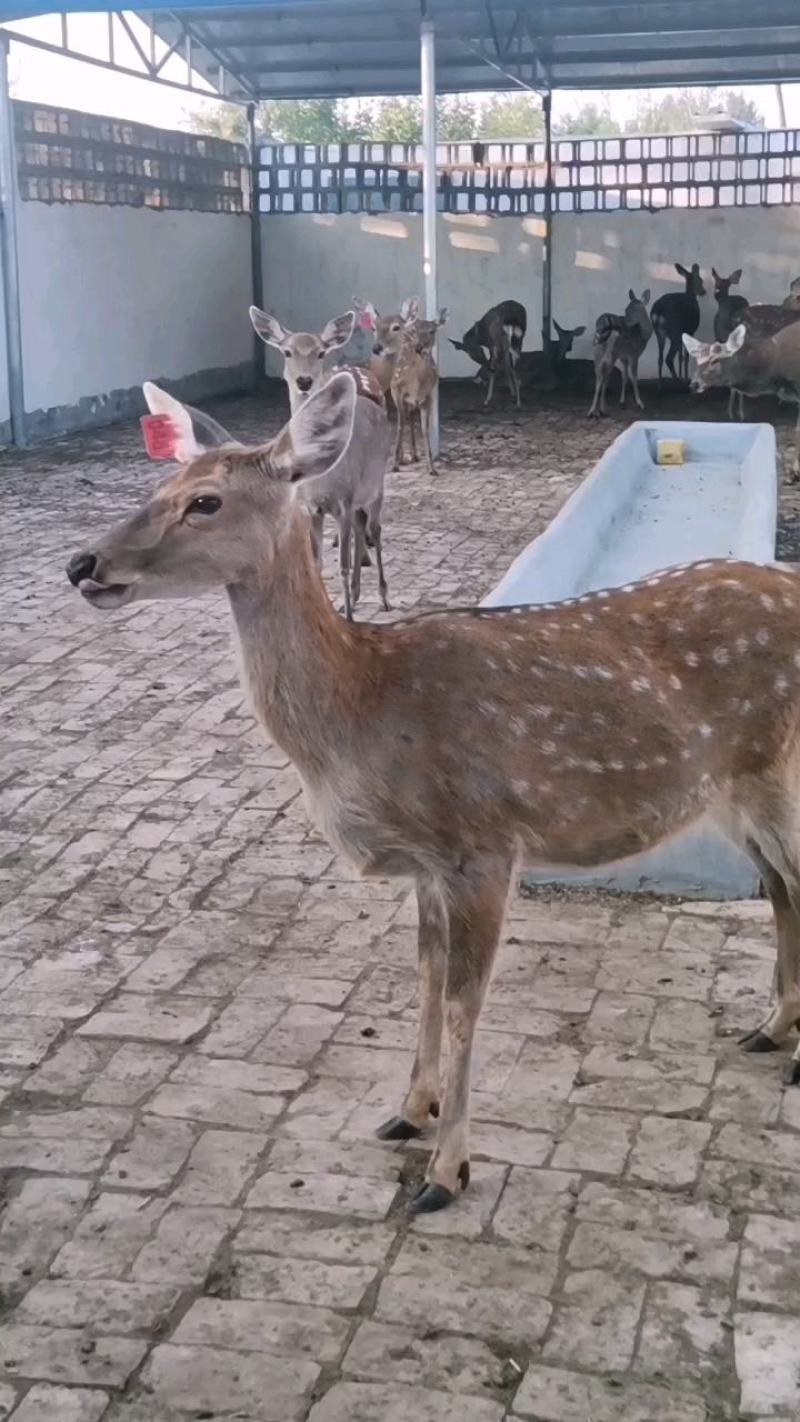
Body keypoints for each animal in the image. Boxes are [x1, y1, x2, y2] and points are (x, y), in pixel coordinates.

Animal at [66, 370, 800, 1215]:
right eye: (159, 484)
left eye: (206, 502)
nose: (82, 563)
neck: (363, 707)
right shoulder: (427, 864)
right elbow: (422, 976)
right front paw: (410, 1111)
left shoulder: (485, 843)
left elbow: (461, 1001)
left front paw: (447, 1172)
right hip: (732, 788)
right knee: (780, 884)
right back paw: (772, 1027)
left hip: (773, 764)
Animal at [249, 305, 390, 617]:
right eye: (287, 352)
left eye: (321, 352)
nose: (304, 381)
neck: (323, 478)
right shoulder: (311, 506)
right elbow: (318, 563)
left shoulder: (344, 500)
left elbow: (343, 566)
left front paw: (347, 618)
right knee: (361, 528)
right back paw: (356, 596)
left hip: (377, 484)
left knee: (375, 529)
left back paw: (383, 597)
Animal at [588, 288, 652, 418]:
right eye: (626, 309)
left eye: (636, 309)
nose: (625, 324)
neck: (643, 336)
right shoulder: (634, 354)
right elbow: (634, 376)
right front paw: (639, 402)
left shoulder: (623, 357)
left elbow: (624, 376)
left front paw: (622, 401)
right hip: (611, 354)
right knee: (604, 380)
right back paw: (601, 409)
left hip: (597, 353)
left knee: (599, 379)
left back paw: (593, 411)